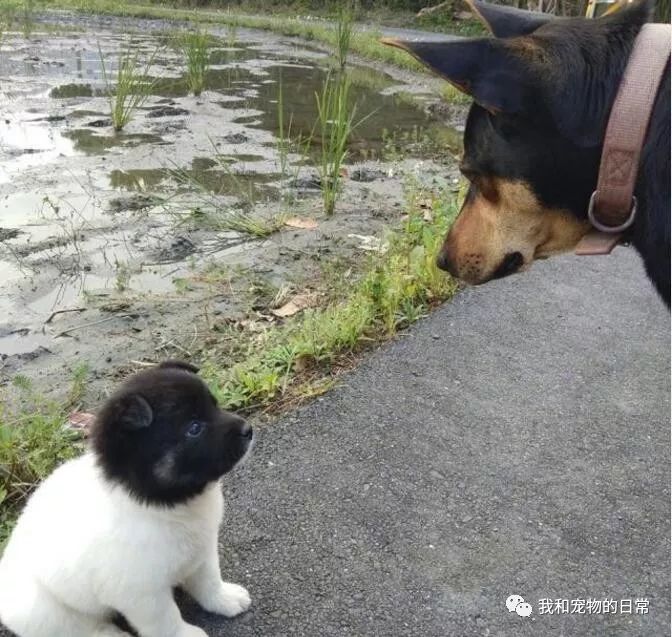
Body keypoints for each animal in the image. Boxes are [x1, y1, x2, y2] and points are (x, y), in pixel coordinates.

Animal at [0, 358, 252, 636]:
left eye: (215, 406)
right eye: (194, 429)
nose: (248, 429)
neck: (163, 504)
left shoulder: (202, 552)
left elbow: (209, 581)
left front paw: (225, 599)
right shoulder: (142, 594)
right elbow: (166, 619)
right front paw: (185, 634)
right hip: (47, 612)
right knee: (84, 628)